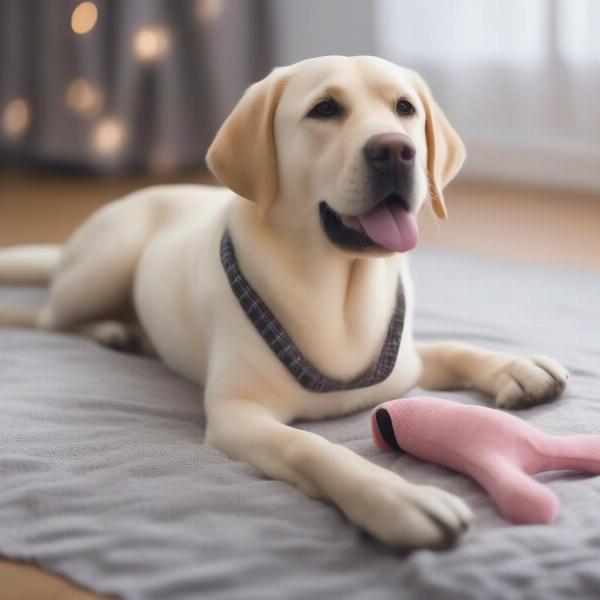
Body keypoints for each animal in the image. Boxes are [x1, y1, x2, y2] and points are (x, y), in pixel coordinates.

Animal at [0, 56, 568, 548]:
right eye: (325, 109)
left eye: (405, 108)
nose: (395, 149)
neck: (338, 285)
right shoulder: (237, 415)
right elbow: (310, 446)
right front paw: (395, 499)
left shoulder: (402, 362)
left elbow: (454, 348)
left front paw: (518, 367)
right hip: (102, 266)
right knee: (48, 317)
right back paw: (109, 330)